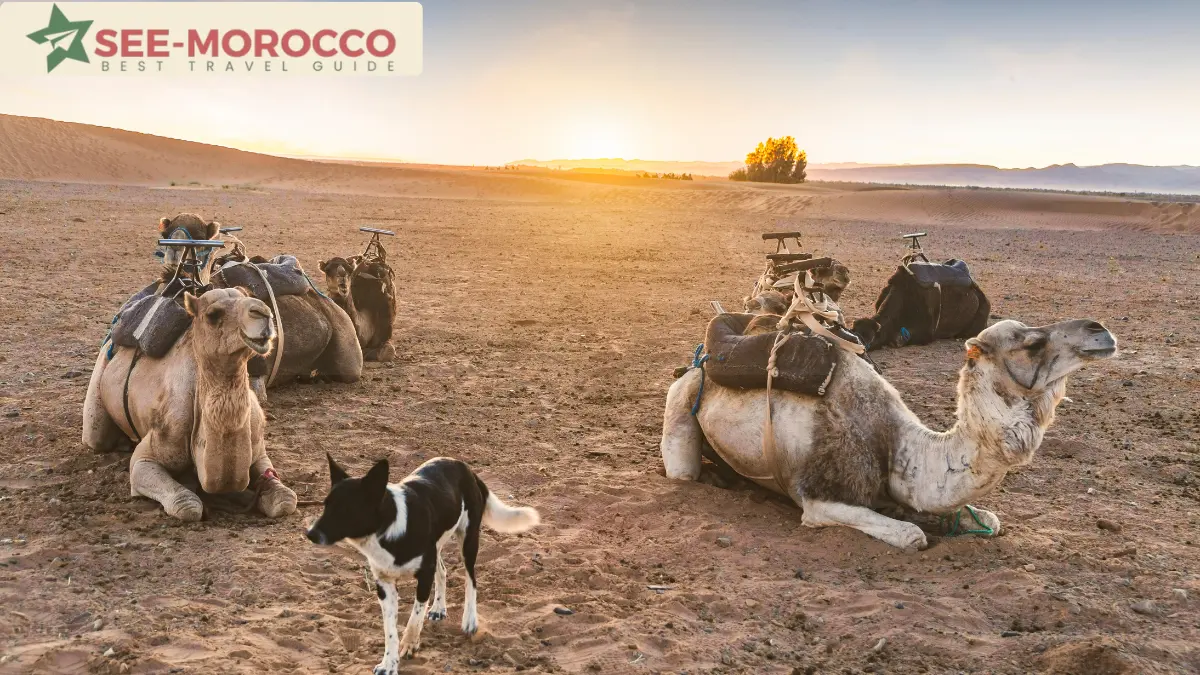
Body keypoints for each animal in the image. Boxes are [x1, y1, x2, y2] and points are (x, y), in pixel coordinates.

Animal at [83, 288, 299, 521]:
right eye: (213, 315)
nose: (264, 313)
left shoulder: (259, 450)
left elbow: (285, 499)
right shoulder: (148, 455)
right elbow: (187, 504)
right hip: (100, 373)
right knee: (98, 437)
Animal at [661, 318, 1117, 549]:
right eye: (1032, 343)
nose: (1102, 331)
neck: (899, 447)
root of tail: (697, 362)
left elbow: (988, 519)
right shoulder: (819, 497)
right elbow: (912, 536)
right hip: (681, 403)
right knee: (683, 470)